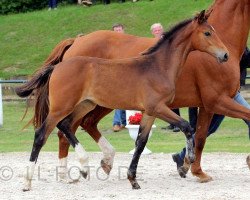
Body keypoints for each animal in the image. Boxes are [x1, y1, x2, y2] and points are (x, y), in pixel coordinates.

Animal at [16, 11, 229, 191]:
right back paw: (29, 182)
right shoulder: (158, 107)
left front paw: (133, 180)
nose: (225, 55)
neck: (158, 67)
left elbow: (141, 143)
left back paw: (82, 168)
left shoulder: (149, 112)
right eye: (207, 33)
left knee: (66, 126)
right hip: (62, 107)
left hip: (85, 104)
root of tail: (57, 67)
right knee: (42, 134)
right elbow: (186, 126)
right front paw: (188, 161)